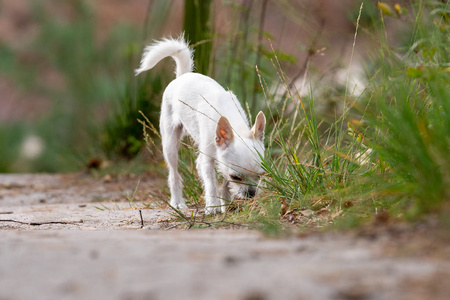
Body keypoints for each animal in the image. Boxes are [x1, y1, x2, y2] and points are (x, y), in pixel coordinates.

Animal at [135, 35, 266, 213]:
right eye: (236, 177)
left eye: (259, 175)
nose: (251, 194)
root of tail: (182, 76)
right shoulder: (208, 161)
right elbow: (211, 183)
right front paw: (212, 207)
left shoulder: (221, 161)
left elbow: (224, 184)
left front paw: (225, 204)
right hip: (170, 144)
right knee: (174, 174)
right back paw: (177, 202)